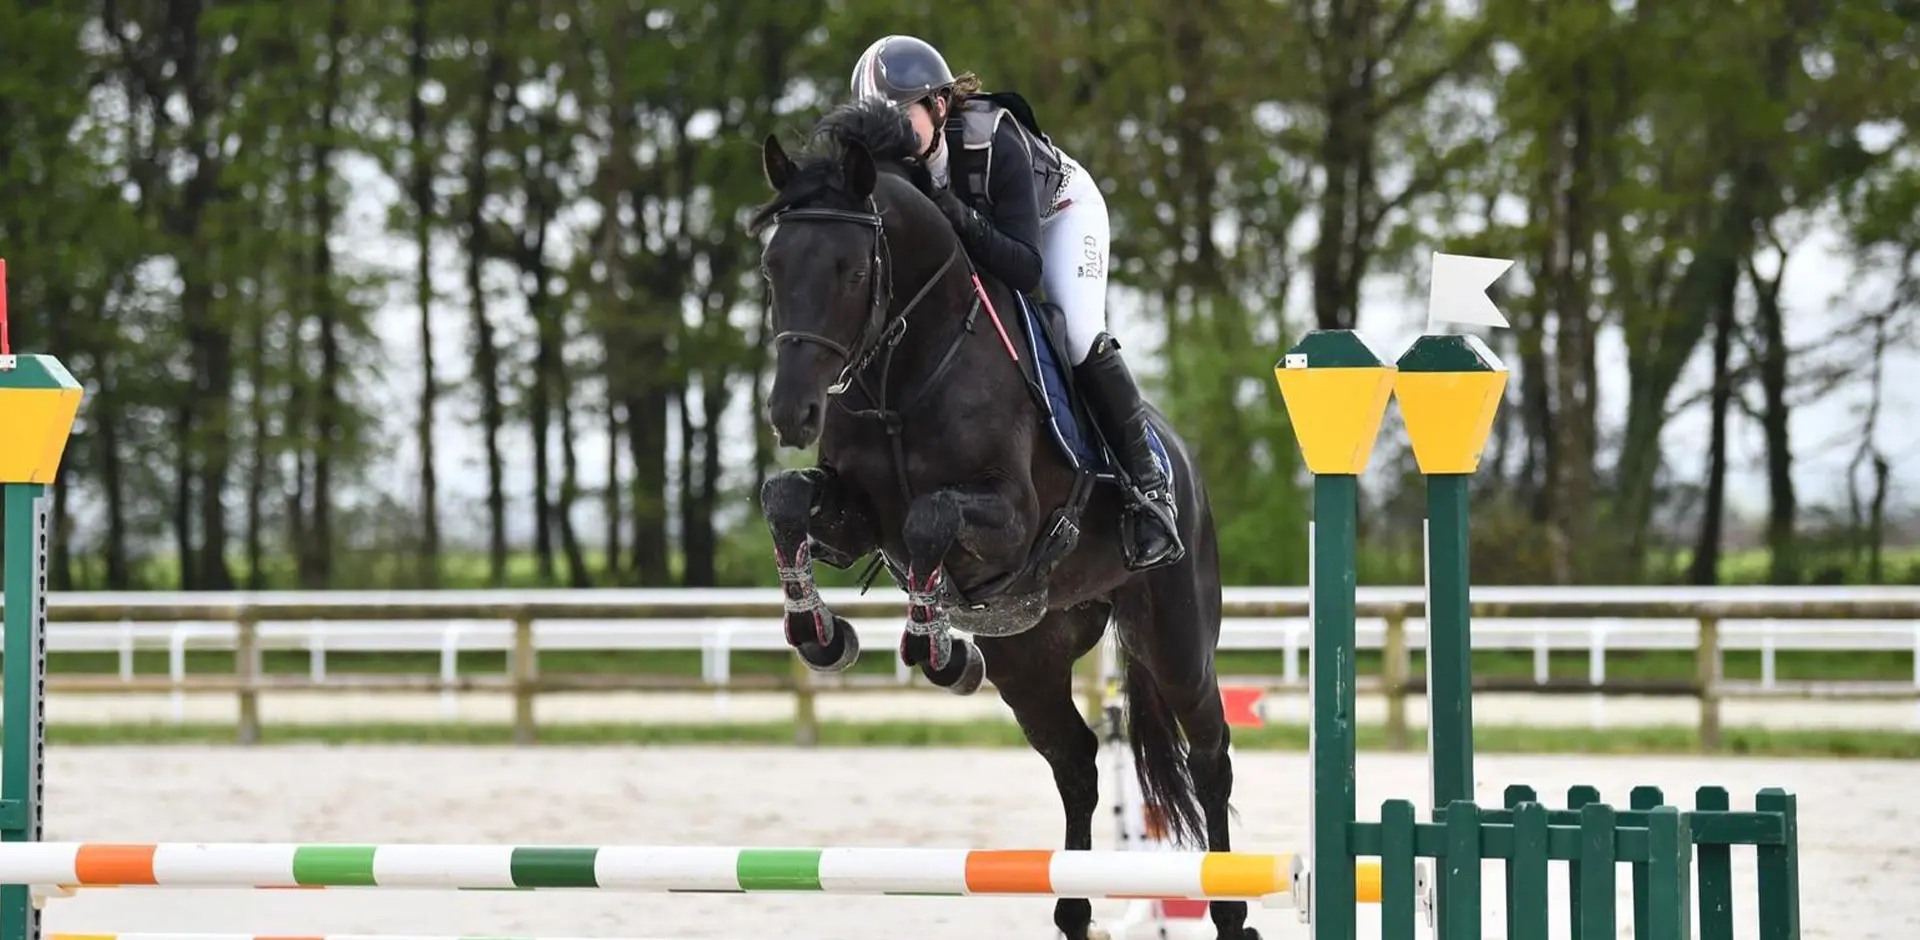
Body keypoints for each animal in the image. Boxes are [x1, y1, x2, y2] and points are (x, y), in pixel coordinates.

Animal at [747, 98, 1258, 940]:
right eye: (773, 269)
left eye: (851, 270)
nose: (792, 413)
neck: (904, 369)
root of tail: (1181, 455)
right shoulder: (853, 520)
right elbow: (785, 500)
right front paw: (821, 634)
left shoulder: (1011, 520)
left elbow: (929, 519)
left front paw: (932, 642)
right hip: (1032, 654)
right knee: (1077, 762)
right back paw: (1074, 909)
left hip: (1177, 637)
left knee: (1210, 754)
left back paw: (1230, 908)